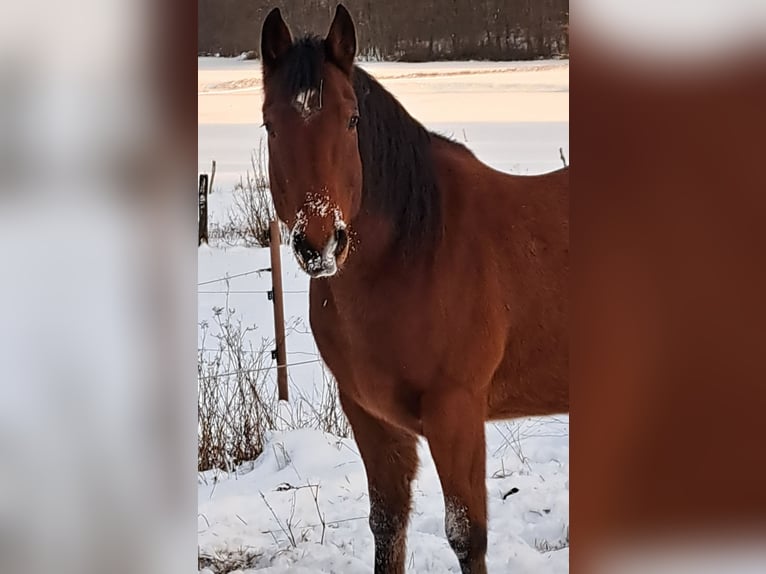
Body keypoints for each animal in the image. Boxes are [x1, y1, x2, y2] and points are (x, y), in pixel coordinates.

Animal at [260, 5, 568, 573]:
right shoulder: (371, 417)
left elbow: (467, 536)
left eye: (352, 119)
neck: (414, 254)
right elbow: (388, 527)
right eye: (271, 124)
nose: (320, 243)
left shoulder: (456, 413)